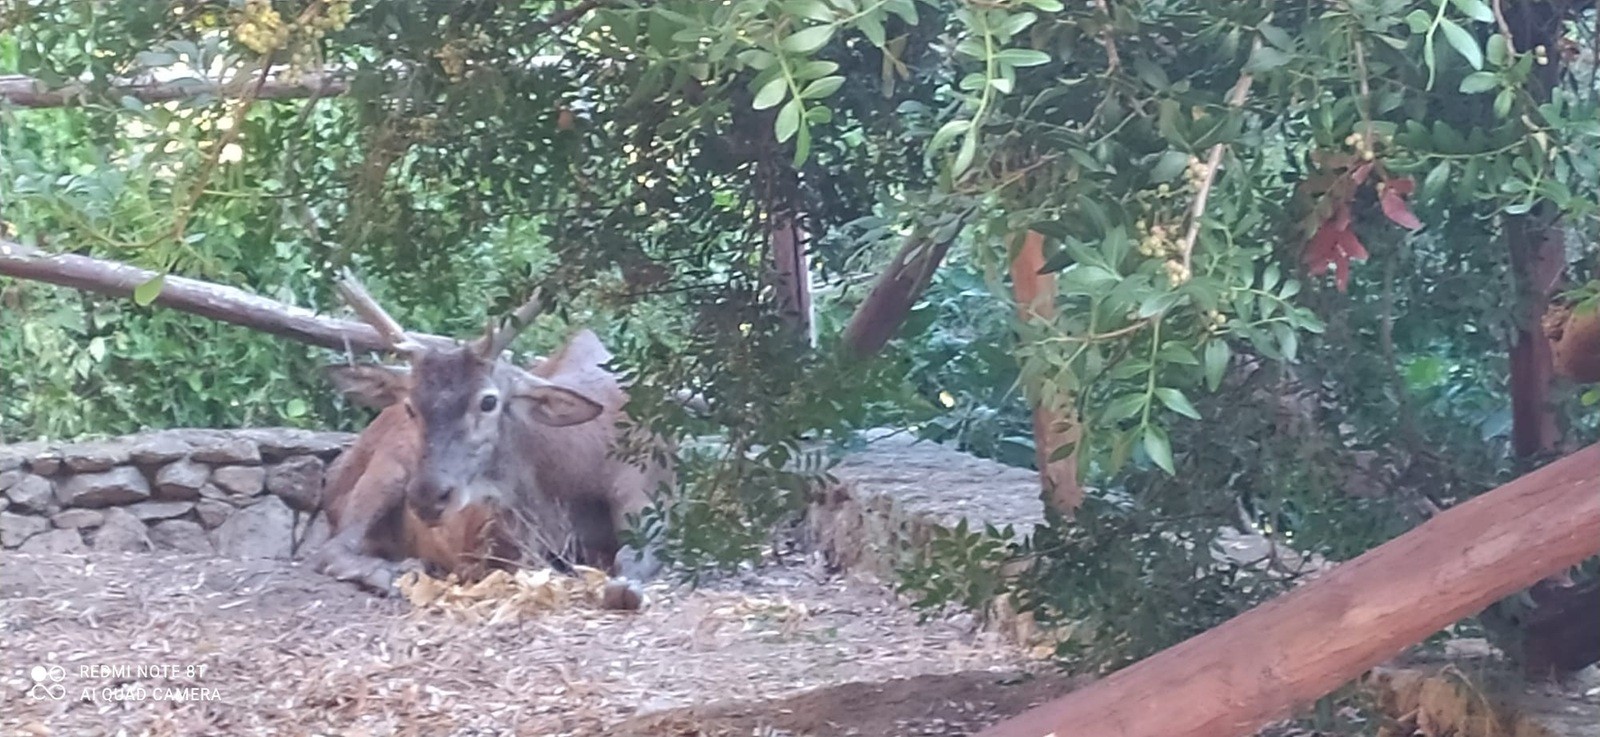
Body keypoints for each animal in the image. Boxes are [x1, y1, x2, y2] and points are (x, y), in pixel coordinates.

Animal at [305, 271, 674, 610]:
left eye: (488, 401)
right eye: (411, 406)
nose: (428, 496)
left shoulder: (649, 493)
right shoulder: (490, 538)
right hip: (385, 472)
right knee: (331, 549)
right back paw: (395, 571)